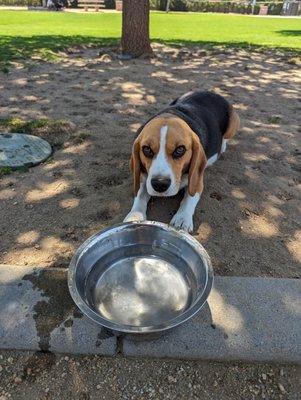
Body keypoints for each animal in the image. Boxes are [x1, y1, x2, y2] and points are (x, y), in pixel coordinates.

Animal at [123, 89, 239, 230]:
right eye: (147, 149)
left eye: (180, 150)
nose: (160, 184)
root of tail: (211, 92)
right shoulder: (143, 177)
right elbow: (139, 195)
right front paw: (135, 216)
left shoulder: (197, 180)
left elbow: (189, 197)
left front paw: (182, 218)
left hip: (233, 123)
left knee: (226, 138)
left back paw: (221, 146)